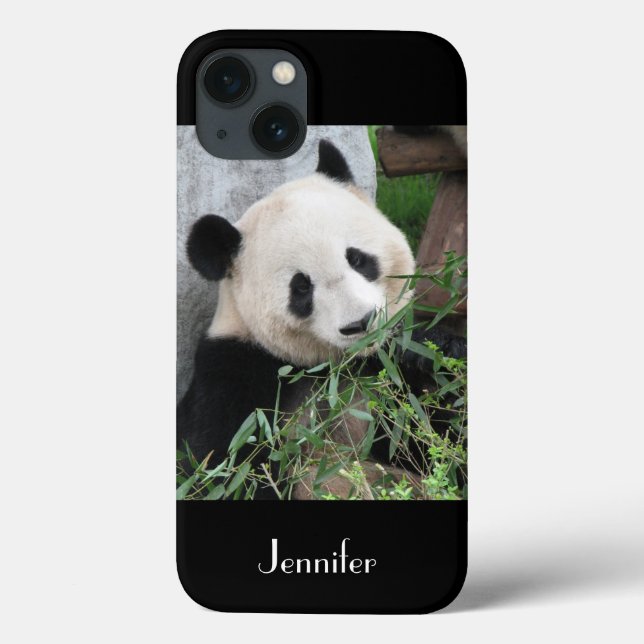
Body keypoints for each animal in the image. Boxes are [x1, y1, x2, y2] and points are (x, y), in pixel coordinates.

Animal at [177, 140, 466, 499]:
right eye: (301, 287)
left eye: (357, 259)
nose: (361, 323)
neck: (330, 369)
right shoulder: (233, 376)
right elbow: (226, 470)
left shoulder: (382, 376)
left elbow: (435, 441)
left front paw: (434, 355)